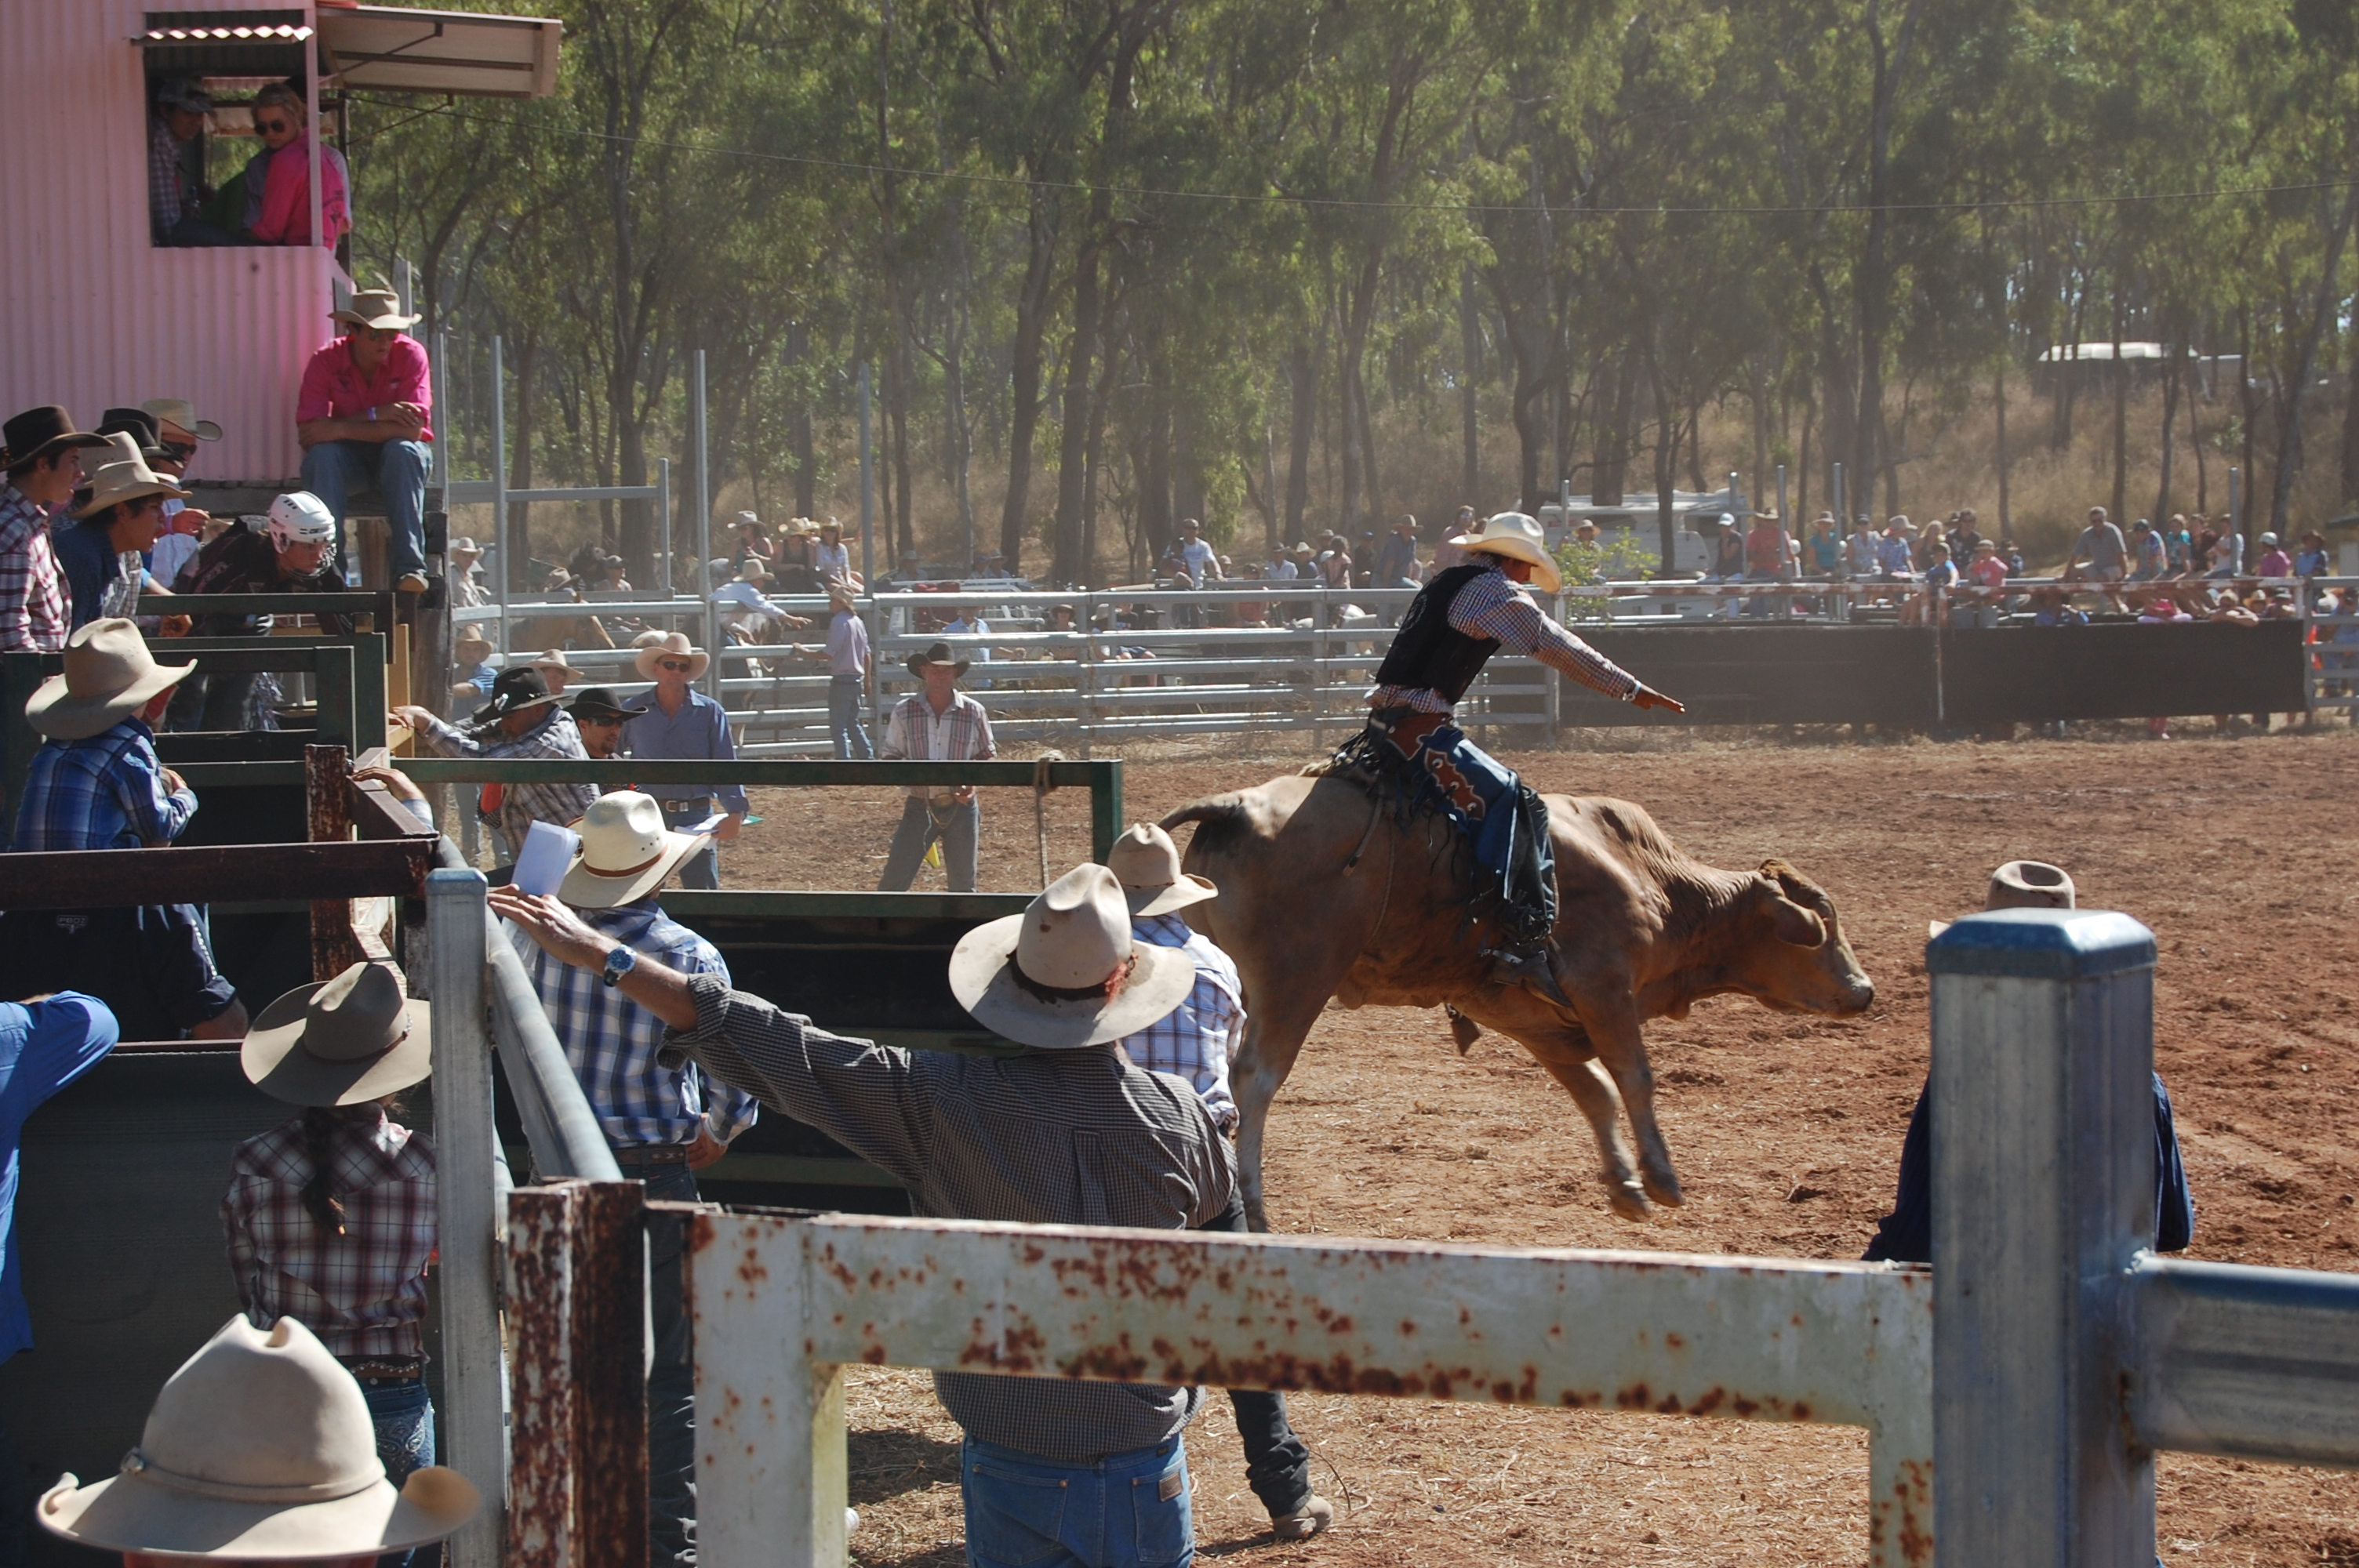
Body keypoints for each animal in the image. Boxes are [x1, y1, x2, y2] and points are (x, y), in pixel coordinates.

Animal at [1150, 778, 1868, 1225]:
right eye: (1824, 927)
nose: (1863, 991)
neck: (1651, 879)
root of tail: (1233, 807)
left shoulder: (1536, 1023)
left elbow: (1595, 1093)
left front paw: (1625, 1185)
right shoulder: (1604, 988)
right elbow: (1634, 1076)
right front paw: (1662, 1177)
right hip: (1296, 978)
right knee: (1255, 1079)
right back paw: (1255, 1204)